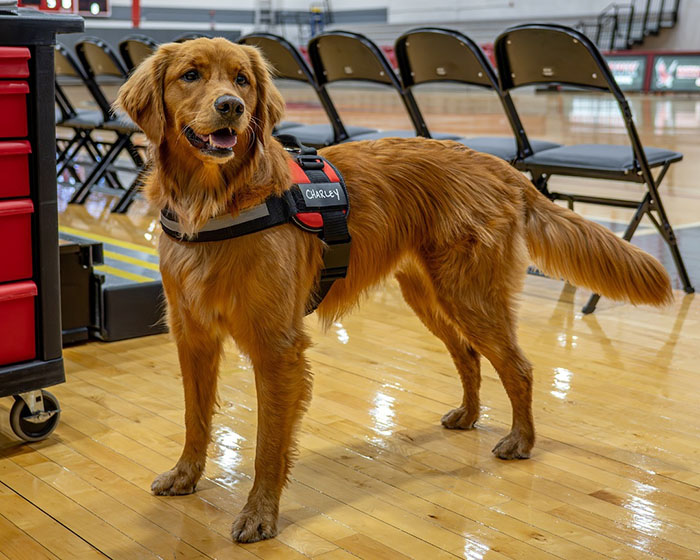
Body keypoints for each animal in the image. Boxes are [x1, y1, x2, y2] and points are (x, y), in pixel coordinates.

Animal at [115, 38, 672, 544]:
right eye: (190, 75)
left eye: (242, 80)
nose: (231, 106)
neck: (215, 202)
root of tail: (499, 166)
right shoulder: (193, 336)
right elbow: (195, 418)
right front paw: (186, 476)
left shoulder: (276, 347)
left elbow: (267, 443)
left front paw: (259, 515)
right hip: (431, 296)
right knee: (469, 357)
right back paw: (469, 417)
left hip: (471, 294)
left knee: (518, 367)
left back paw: (520, 441)